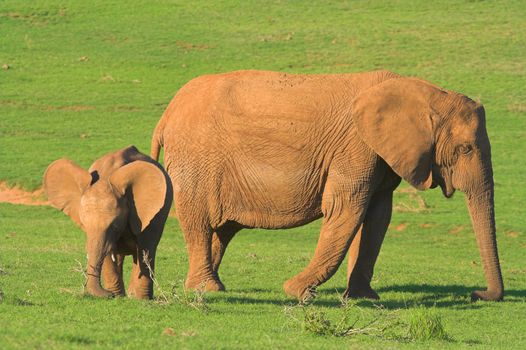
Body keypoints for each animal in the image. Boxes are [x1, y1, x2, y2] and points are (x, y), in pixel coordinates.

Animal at [44, 145, 173, 298]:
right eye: (84, 226)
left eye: (115, 227)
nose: (108, 294)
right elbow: (107, 254)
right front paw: (116, 295)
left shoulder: (148, 213)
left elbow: (145, 247)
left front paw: (139, 299)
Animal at [152, 70, 504, 300]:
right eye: (465, 149)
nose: (478, 294)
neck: (425, 93)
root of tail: (166, 114)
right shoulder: (356, 146)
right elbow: (346, 207)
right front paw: (296, 291)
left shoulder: (380, 154)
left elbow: (378, 216)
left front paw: (363, 298)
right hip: (195, 159)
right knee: (199, 223)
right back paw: (208, 289)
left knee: (221, 231)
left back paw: (211, 285)